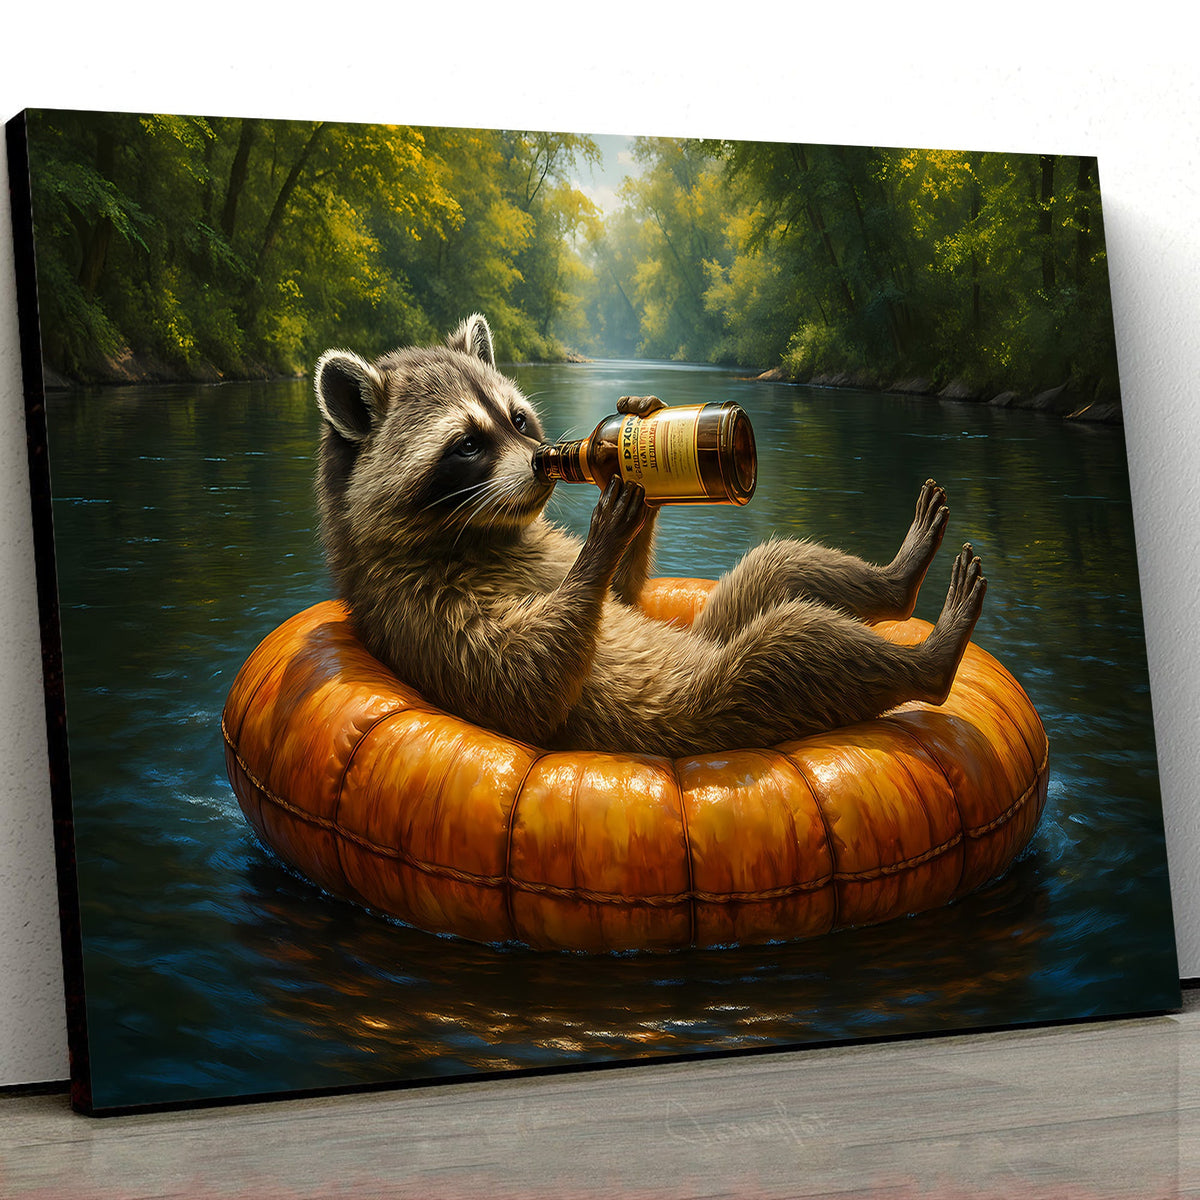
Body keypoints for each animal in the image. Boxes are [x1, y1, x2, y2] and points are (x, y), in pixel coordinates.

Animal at [314, 314, 986, 758]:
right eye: (468, 444)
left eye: (518, 419)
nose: (538, 463)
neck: (488, 533)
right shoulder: (420, 612)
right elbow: (527, 683)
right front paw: (603, 538)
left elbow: (626, 598)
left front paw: (639, 437)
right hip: (720, 708)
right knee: (793, 647)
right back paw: (930, 658)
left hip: (719, 626)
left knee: (779, 567)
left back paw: (897, 580)